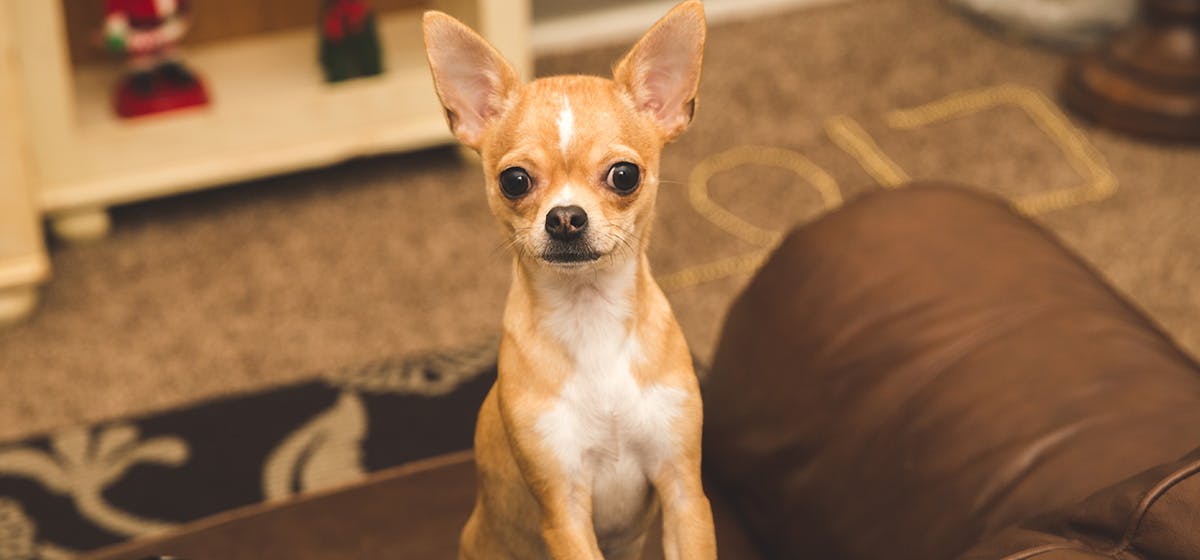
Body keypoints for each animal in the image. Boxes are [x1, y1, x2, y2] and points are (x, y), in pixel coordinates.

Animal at [424, 2, 710, 558]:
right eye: (514, 181)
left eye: (624, 175)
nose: (565, 217)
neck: (590, 316)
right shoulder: (564, 511)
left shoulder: (684, 490)